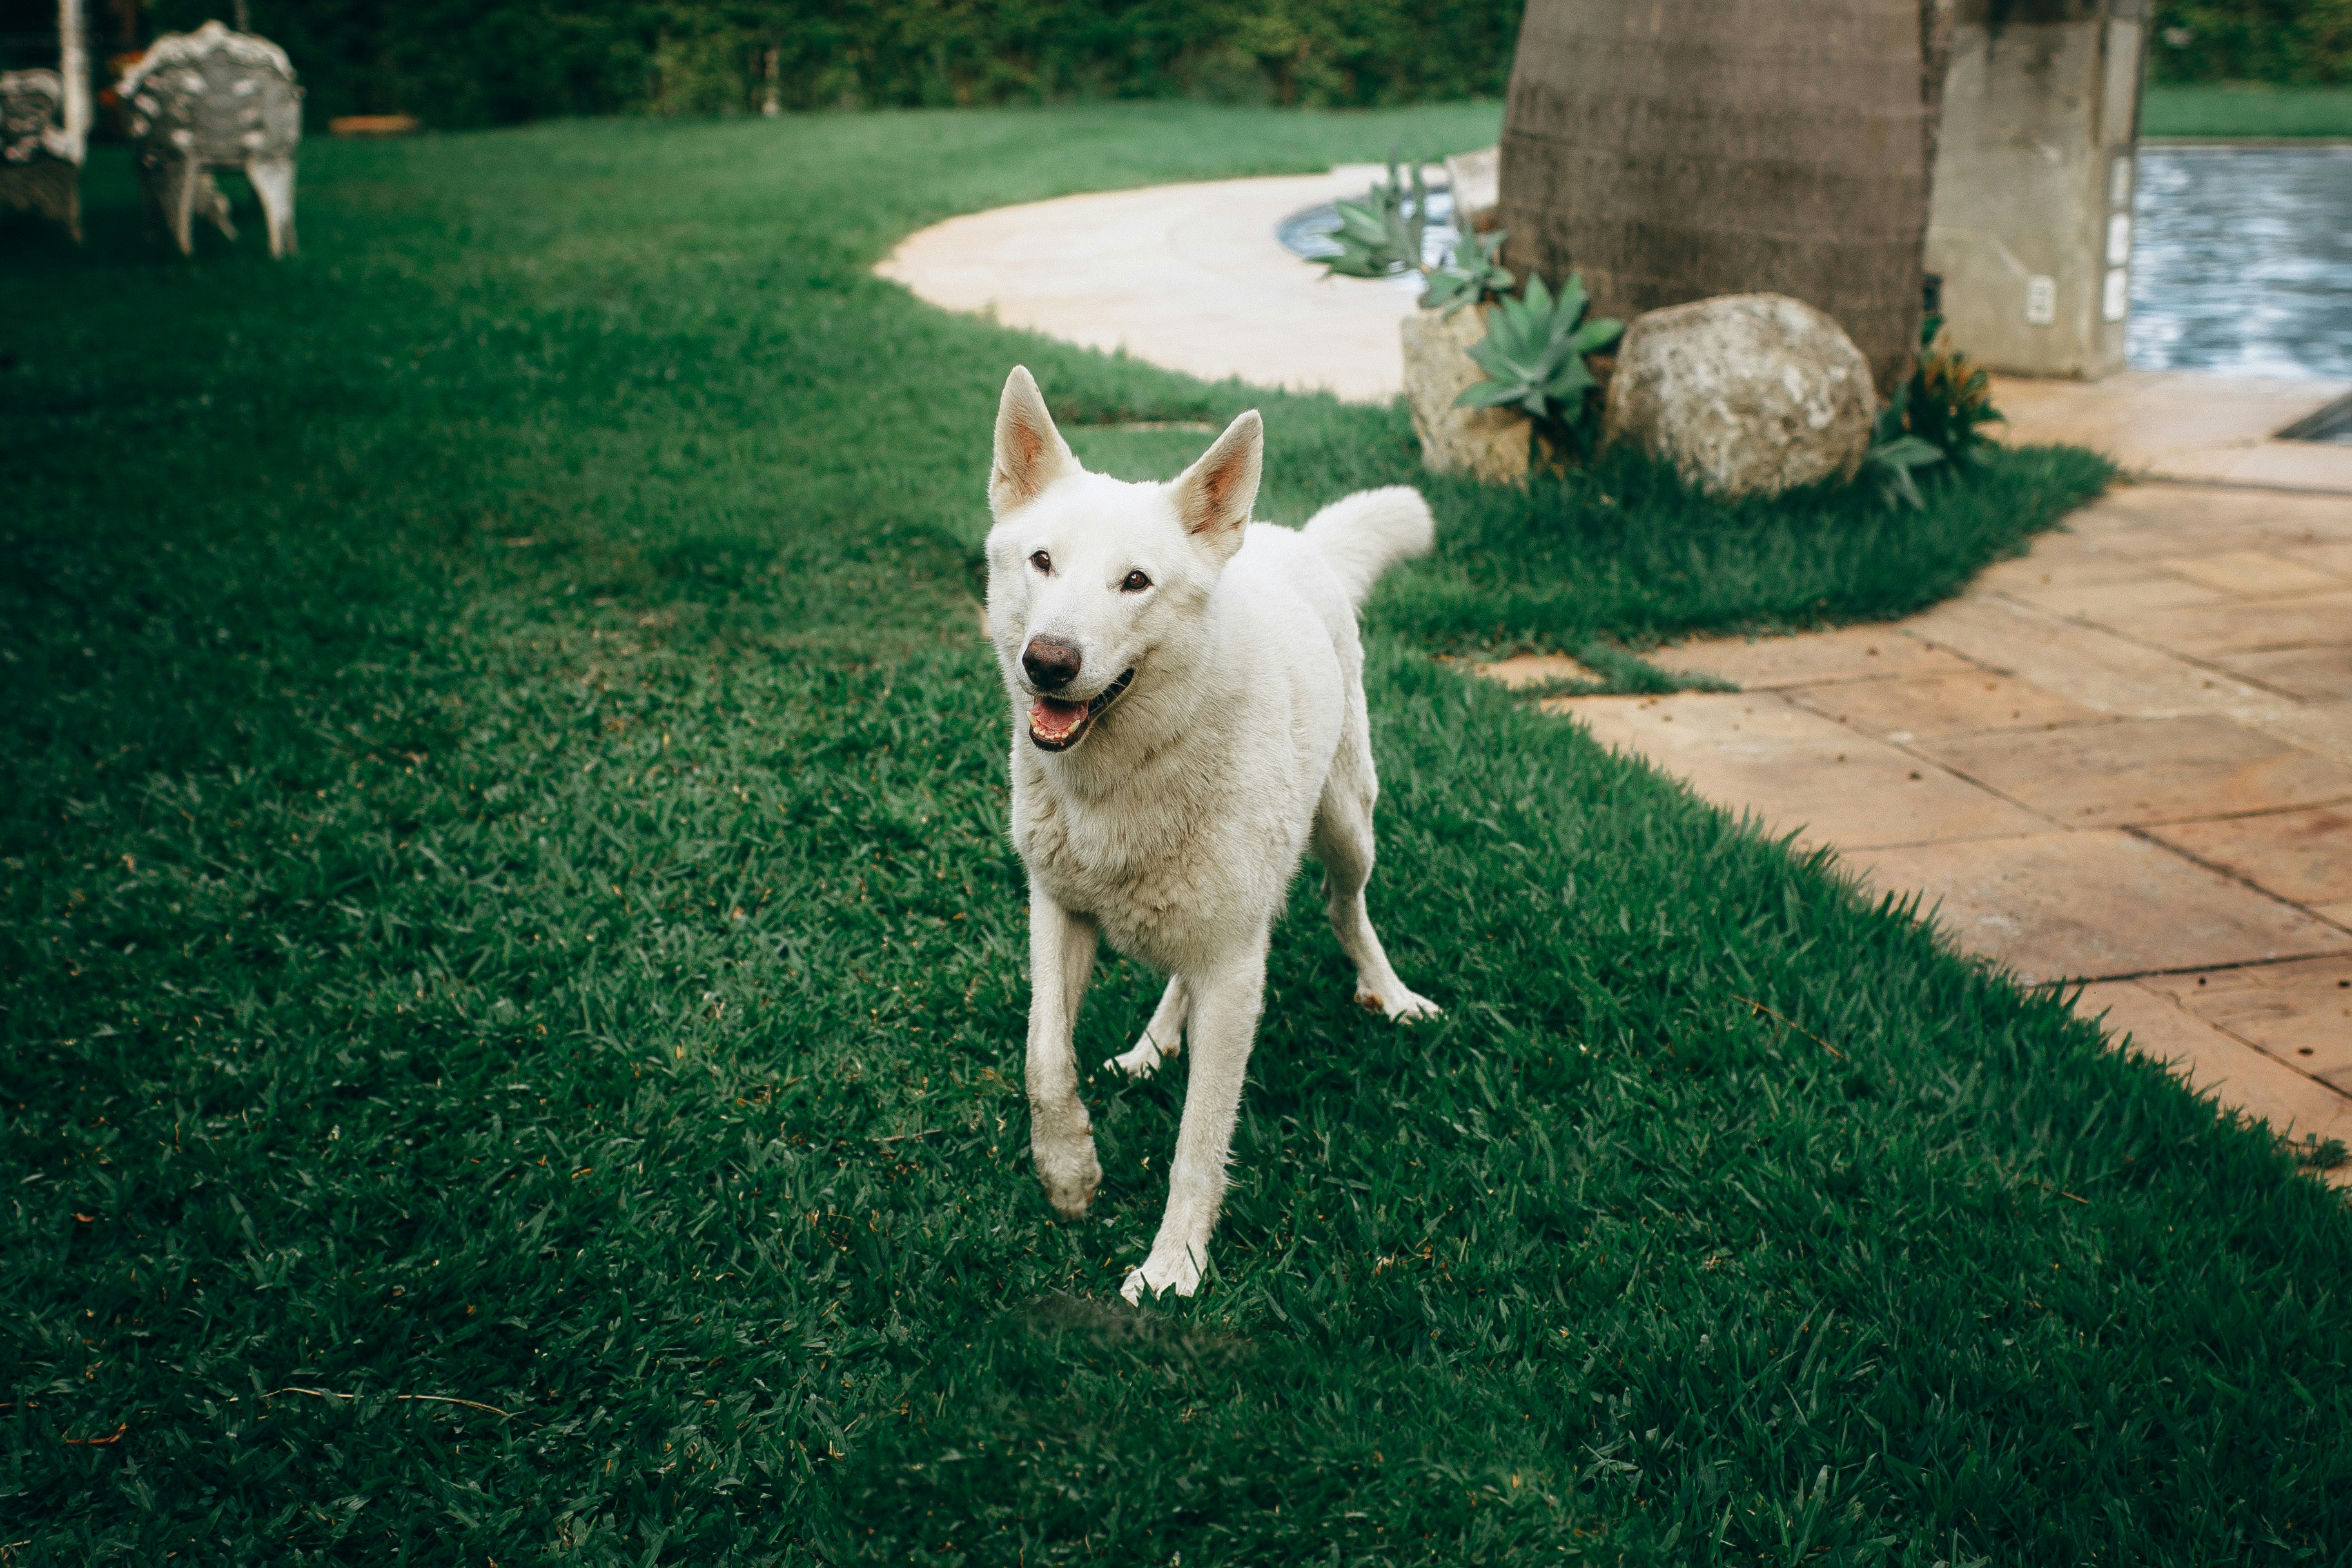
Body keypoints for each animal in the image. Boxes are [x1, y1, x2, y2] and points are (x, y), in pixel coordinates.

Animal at [983, 364, 1439, 1297]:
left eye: (1135, 582)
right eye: (1042, 561)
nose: (1048, 662)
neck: (1121, 778)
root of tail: (1291, 537)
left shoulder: (1235, 972)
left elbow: (1199, 1142)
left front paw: (1173, 1269)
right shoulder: (1057, 908)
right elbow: (1044, 1059)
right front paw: (1070, 1174)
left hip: (1347, 827)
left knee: (1347, 909)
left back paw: (1392, 995)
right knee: (1177, 977)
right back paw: (1153, 1044)